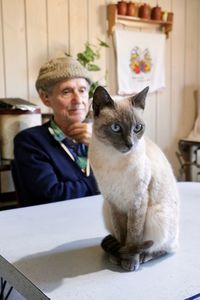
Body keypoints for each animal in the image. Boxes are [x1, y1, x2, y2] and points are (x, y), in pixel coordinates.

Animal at [89, 86, 180, 272]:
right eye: (116, 127)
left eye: (137, 128)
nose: (130, 144)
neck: (112, 159)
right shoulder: (113, 202)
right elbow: (121, 235)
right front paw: (118, 257)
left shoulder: (137, 201)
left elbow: (133, 236)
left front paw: (129, 261)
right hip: (105, 209)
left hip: (156, 215)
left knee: (164, 247)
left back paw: (145, 256)